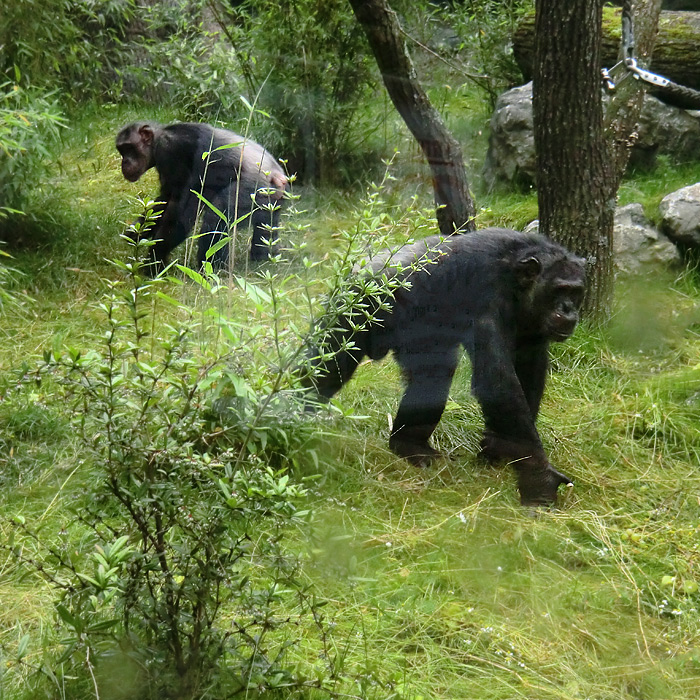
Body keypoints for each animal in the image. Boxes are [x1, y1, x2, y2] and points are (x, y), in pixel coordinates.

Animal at [116, 121, 288, 272]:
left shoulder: (170, 152)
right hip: (270, 200)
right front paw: (136, 231)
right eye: (121, 150)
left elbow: (178, 211)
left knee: (216, 216)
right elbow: (165, 199)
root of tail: (279, 177)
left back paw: (212, 268)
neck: (157, 140)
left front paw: (154, 261)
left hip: (254, 189)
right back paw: (264, 256)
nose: (124, 162)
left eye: (129, 148)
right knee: (266, 224)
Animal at [308, 231, 588, 508]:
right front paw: (539, 478)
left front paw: (499, 447)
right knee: (328, 365)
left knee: (433, 375)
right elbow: (497, 382)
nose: (568, 310)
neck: (517, 283)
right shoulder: (487, 296)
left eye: (575, 292)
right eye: (559, 290)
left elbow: (529, 370)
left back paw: (409, 444)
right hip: (357, 307)